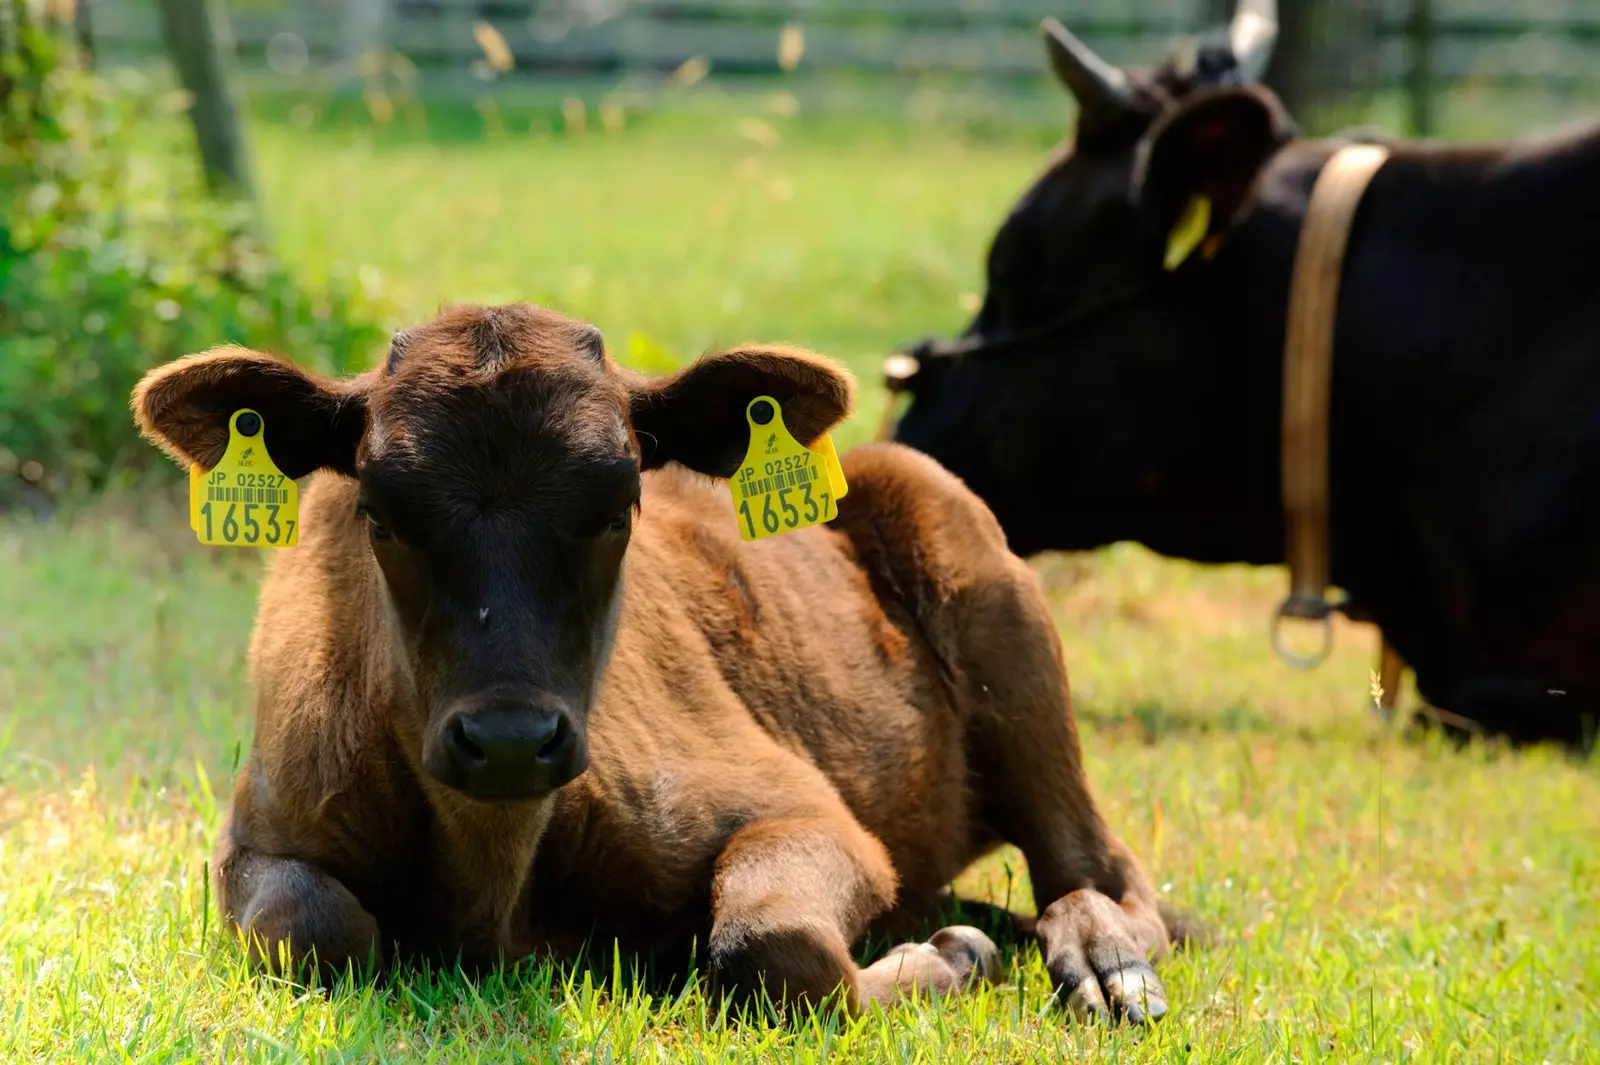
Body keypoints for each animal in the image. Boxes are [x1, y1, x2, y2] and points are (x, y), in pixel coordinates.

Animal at [131, 302, 1177, 1017]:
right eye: (379, 510)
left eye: (622, 504)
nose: (508, 739)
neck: (493, 882)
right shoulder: (259, 837)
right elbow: (313, 928)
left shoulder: (804, 809)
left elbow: (770, 939)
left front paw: (948, 956)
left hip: (1004, 624)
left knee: (1098, 870)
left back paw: (1102, 961)